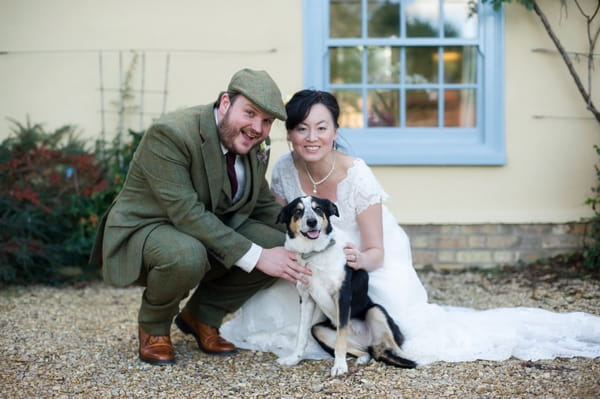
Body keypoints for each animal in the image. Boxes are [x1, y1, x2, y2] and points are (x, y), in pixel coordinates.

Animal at [274, 197, 414, 378]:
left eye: (318, 209)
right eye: (298, 211)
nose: (312, 222)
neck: (314, 253)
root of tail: (369, 342)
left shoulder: (342, 295)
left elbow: (341, 336)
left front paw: (340, 366)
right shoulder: (306, 299)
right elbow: (301, 335)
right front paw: (293, 359)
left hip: (375, 310)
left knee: (396, 347)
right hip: (318, 329)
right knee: (365, 351)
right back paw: (363, 358)